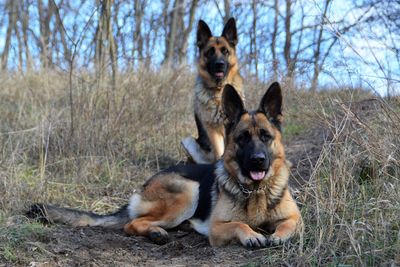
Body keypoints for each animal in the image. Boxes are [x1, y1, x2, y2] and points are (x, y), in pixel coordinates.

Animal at [28, 82, 302, 248]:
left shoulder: (295, 219)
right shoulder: (216, 228)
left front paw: (276, 236)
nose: (258, 160)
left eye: (265, 136)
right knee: (131, 224)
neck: (256, 191)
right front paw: (253, 234)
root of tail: (144, 185)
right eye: (243, 138)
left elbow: (288, 225)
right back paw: (156, 233)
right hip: (188, 192)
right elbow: (239, 223)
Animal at [181, 17, 244, 164]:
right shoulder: (213, 129)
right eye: (210, 52)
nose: (219, 65)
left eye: (225, 51)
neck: (220, 90)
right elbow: (219, 151)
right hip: (187, 140)